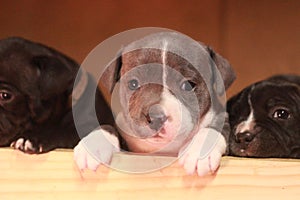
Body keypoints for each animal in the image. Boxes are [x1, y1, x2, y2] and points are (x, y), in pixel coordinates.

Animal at [74, 31, 236, 175]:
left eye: (188, 85)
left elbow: (213, 128)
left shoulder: (222, 116)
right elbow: (107, 126)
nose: (155, 117)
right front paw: (94, 143)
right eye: (133, 84)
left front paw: (198, 150)